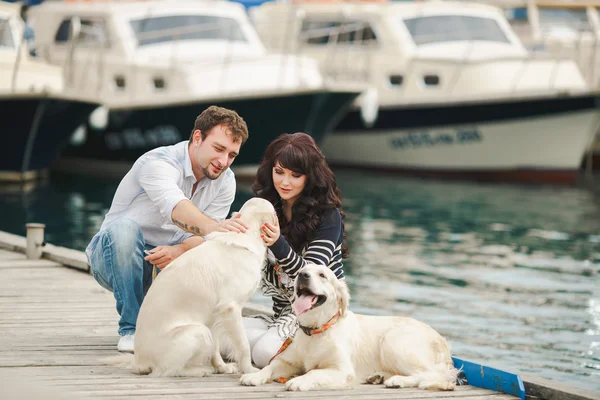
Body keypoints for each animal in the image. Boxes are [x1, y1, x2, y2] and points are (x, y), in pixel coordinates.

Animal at [105, 198, 276, 376]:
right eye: (275, 212)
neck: (245, 234)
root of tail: (138, 361)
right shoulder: (231, 308)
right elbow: (243, 345)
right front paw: (249, 370)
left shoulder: (215, 315)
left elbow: (216, 347)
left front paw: (222, 367)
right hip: (197, 332)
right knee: (168, 370)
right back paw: (200, 370)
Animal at [241, 264, 458, 392]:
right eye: (302, 271)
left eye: (322, 275)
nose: (303, 275)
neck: (317, 329)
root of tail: (442, 341)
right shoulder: (287, 361)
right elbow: (270, 366)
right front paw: (254, 376)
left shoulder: (341, 369)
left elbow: (314, 372)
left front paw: (299, 381)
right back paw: (378, 377)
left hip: (392, 342)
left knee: (430, 374)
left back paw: (398, 380)